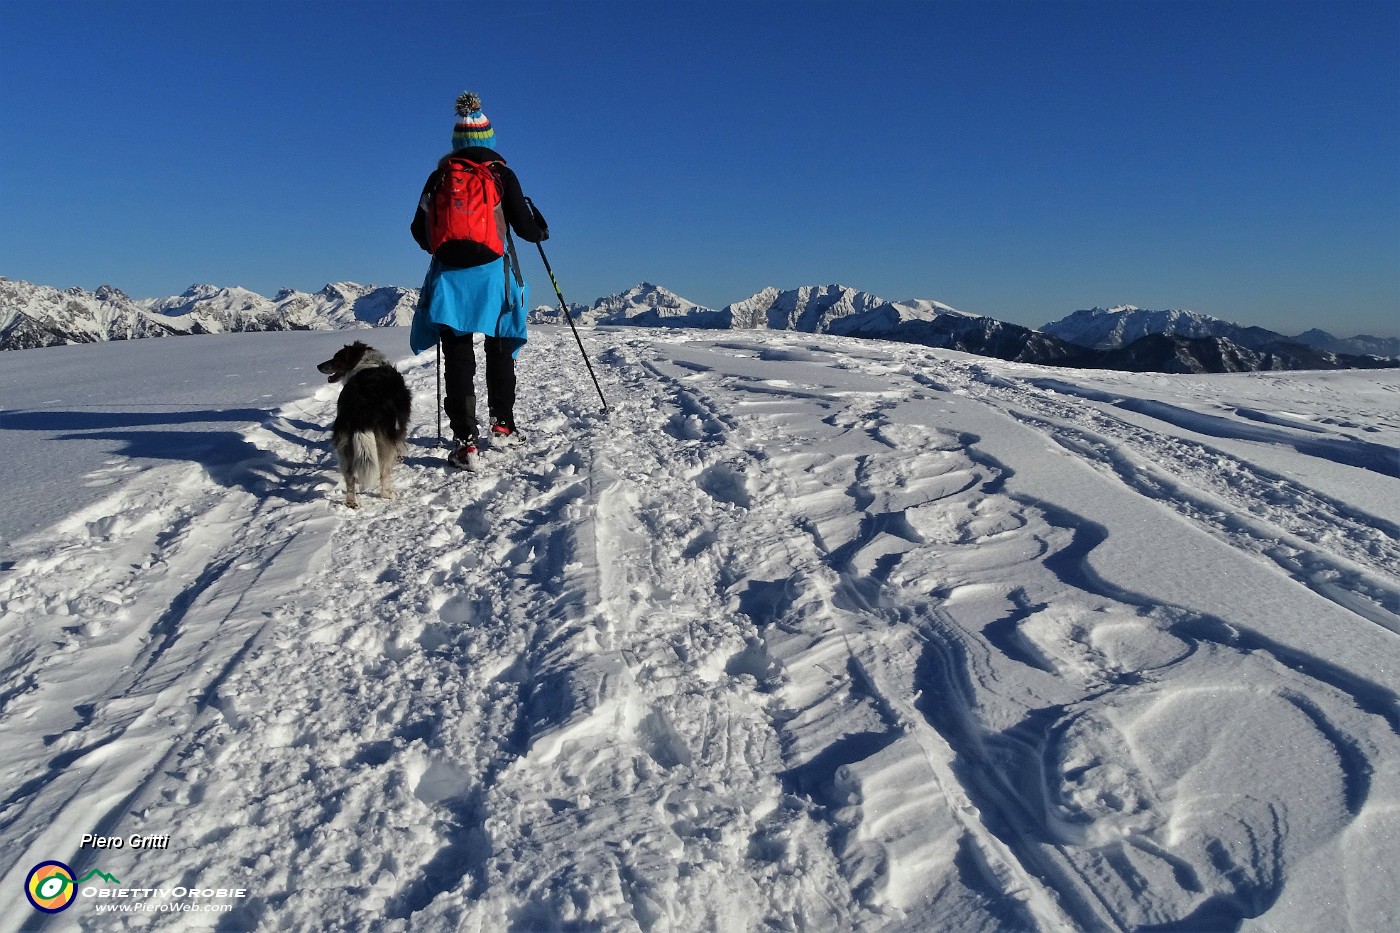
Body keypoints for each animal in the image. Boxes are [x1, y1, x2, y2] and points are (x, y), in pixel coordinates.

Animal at [315, 337, 408, 504]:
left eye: (336, 358)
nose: (319, 366)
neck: (364, 363)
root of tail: (361, 407)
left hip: (344, 442)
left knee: (349, 476)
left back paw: (352, 503)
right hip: (383, 439)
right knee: (383, 472)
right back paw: (388, 494)